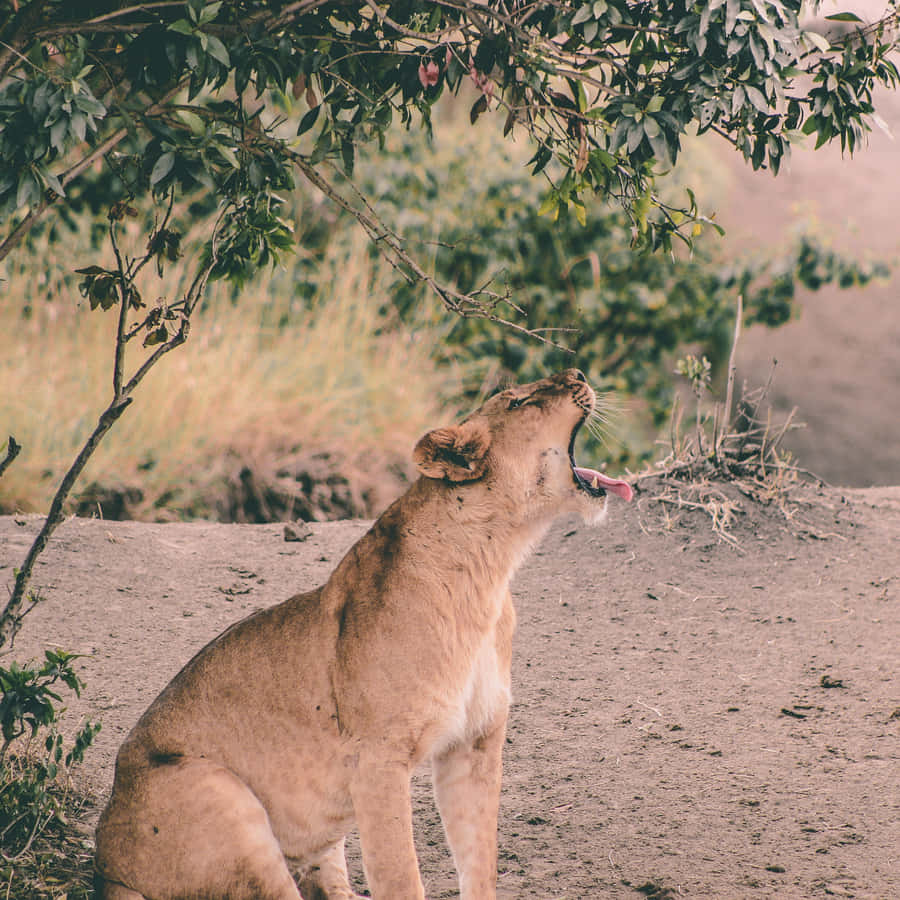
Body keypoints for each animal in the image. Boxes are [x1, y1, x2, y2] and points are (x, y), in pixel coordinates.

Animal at [94, 368, 633, 900]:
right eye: (519, 403)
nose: (579, 372)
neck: (490, 569)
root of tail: (106, 865)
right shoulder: (378, 757)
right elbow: (400, 875)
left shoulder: (476, 742)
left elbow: (480, 862)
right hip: (221, 797)